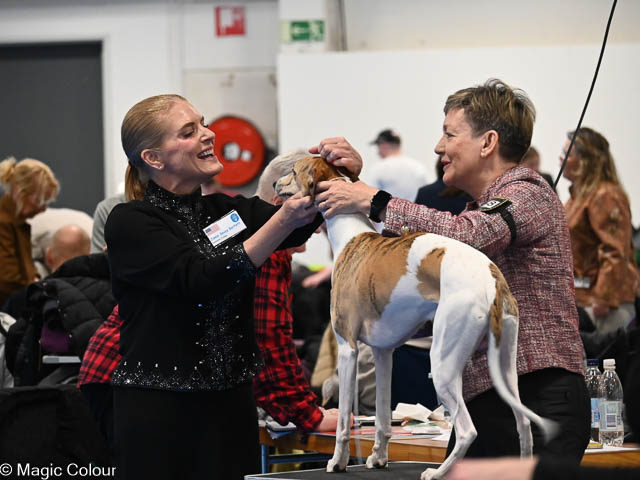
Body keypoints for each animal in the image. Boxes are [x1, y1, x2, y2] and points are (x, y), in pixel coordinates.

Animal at [275, 156, 556, 480]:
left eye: (292, 171)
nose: (275, 184)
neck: (350, 236)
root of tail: (490, 278)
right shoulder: (383, 353)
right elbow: (382, 417)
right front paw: (378, 458)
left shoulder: (348, 349)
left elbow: (345, 421)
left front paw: (337, 462)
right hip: (507, 363)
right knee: (523, 423)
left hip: (443, 363)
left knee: (467, 430)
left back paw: (437, 472)